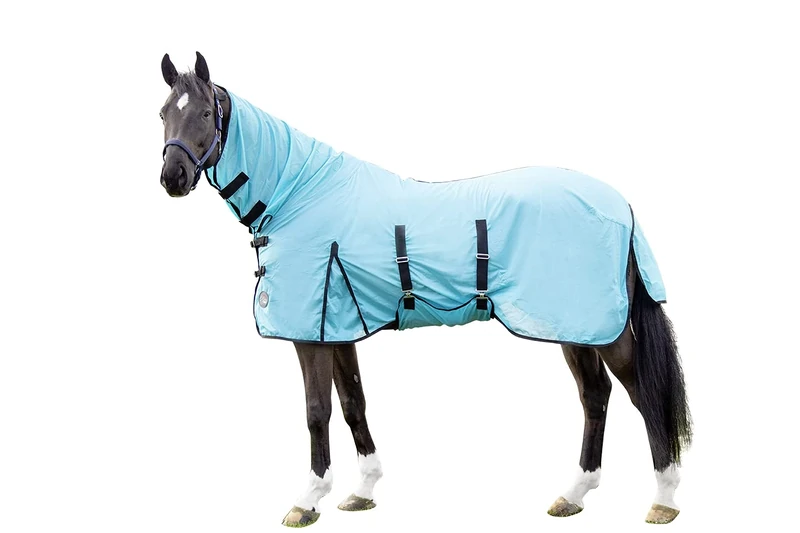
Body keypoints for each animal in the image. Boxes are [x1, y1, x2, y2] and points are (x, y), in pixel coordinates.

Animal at [158, 51, 692, 527]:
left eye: (203, 112)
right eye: (164, 113)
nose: (172, 178)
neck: (300, 195)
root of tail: (621, 205)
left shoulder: (312, 335)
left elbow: (316, 411)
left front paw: (308, 500)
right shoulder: (340, 328)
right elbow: (353, 403)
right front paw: (363, 490)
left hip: (602, 329)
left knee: (643, 393)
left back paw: (663, 498)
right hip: (573, 328)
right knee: (595, 395)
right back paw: (574, 494)